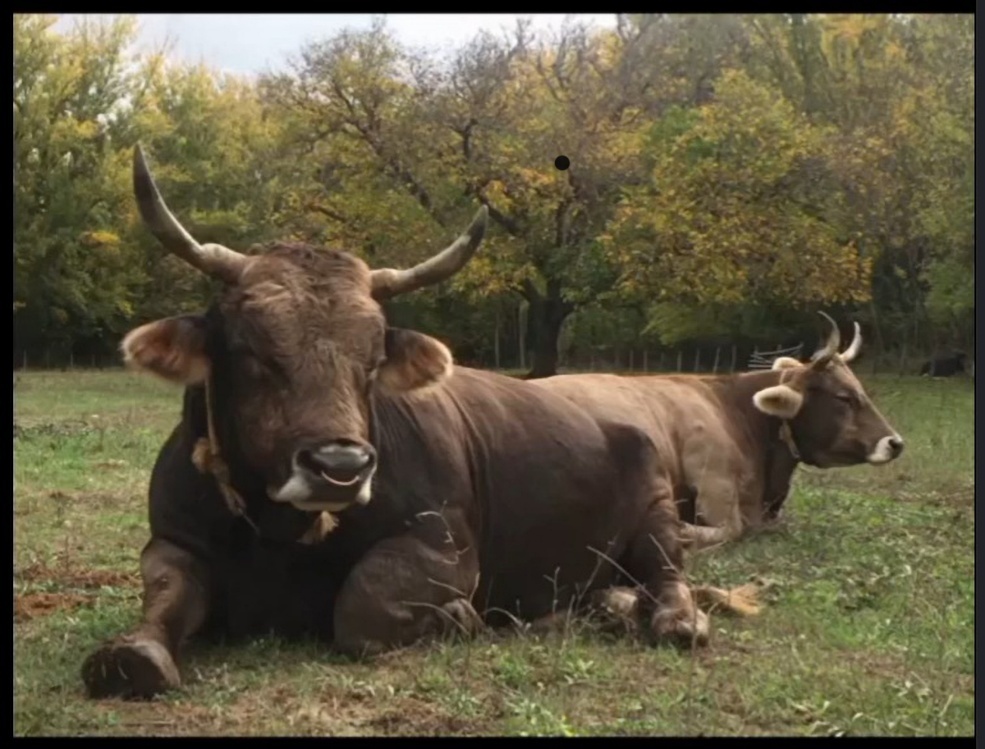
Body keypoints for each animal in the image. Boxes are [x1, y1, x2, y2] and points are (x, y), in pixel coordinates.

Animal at [80, 145, 713, 700]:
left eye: (372, 358)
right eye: (250, 350)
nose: (340, 466)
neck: (278, 536)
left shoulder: (444, 547)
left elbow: (363, 605)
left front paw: (456, 617)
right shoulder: (170, 540)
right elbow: (164, 598)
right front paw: (134, 653)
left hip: (658, 517)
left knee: (669, 575)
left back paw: (674, 621)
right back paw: (613, 607)